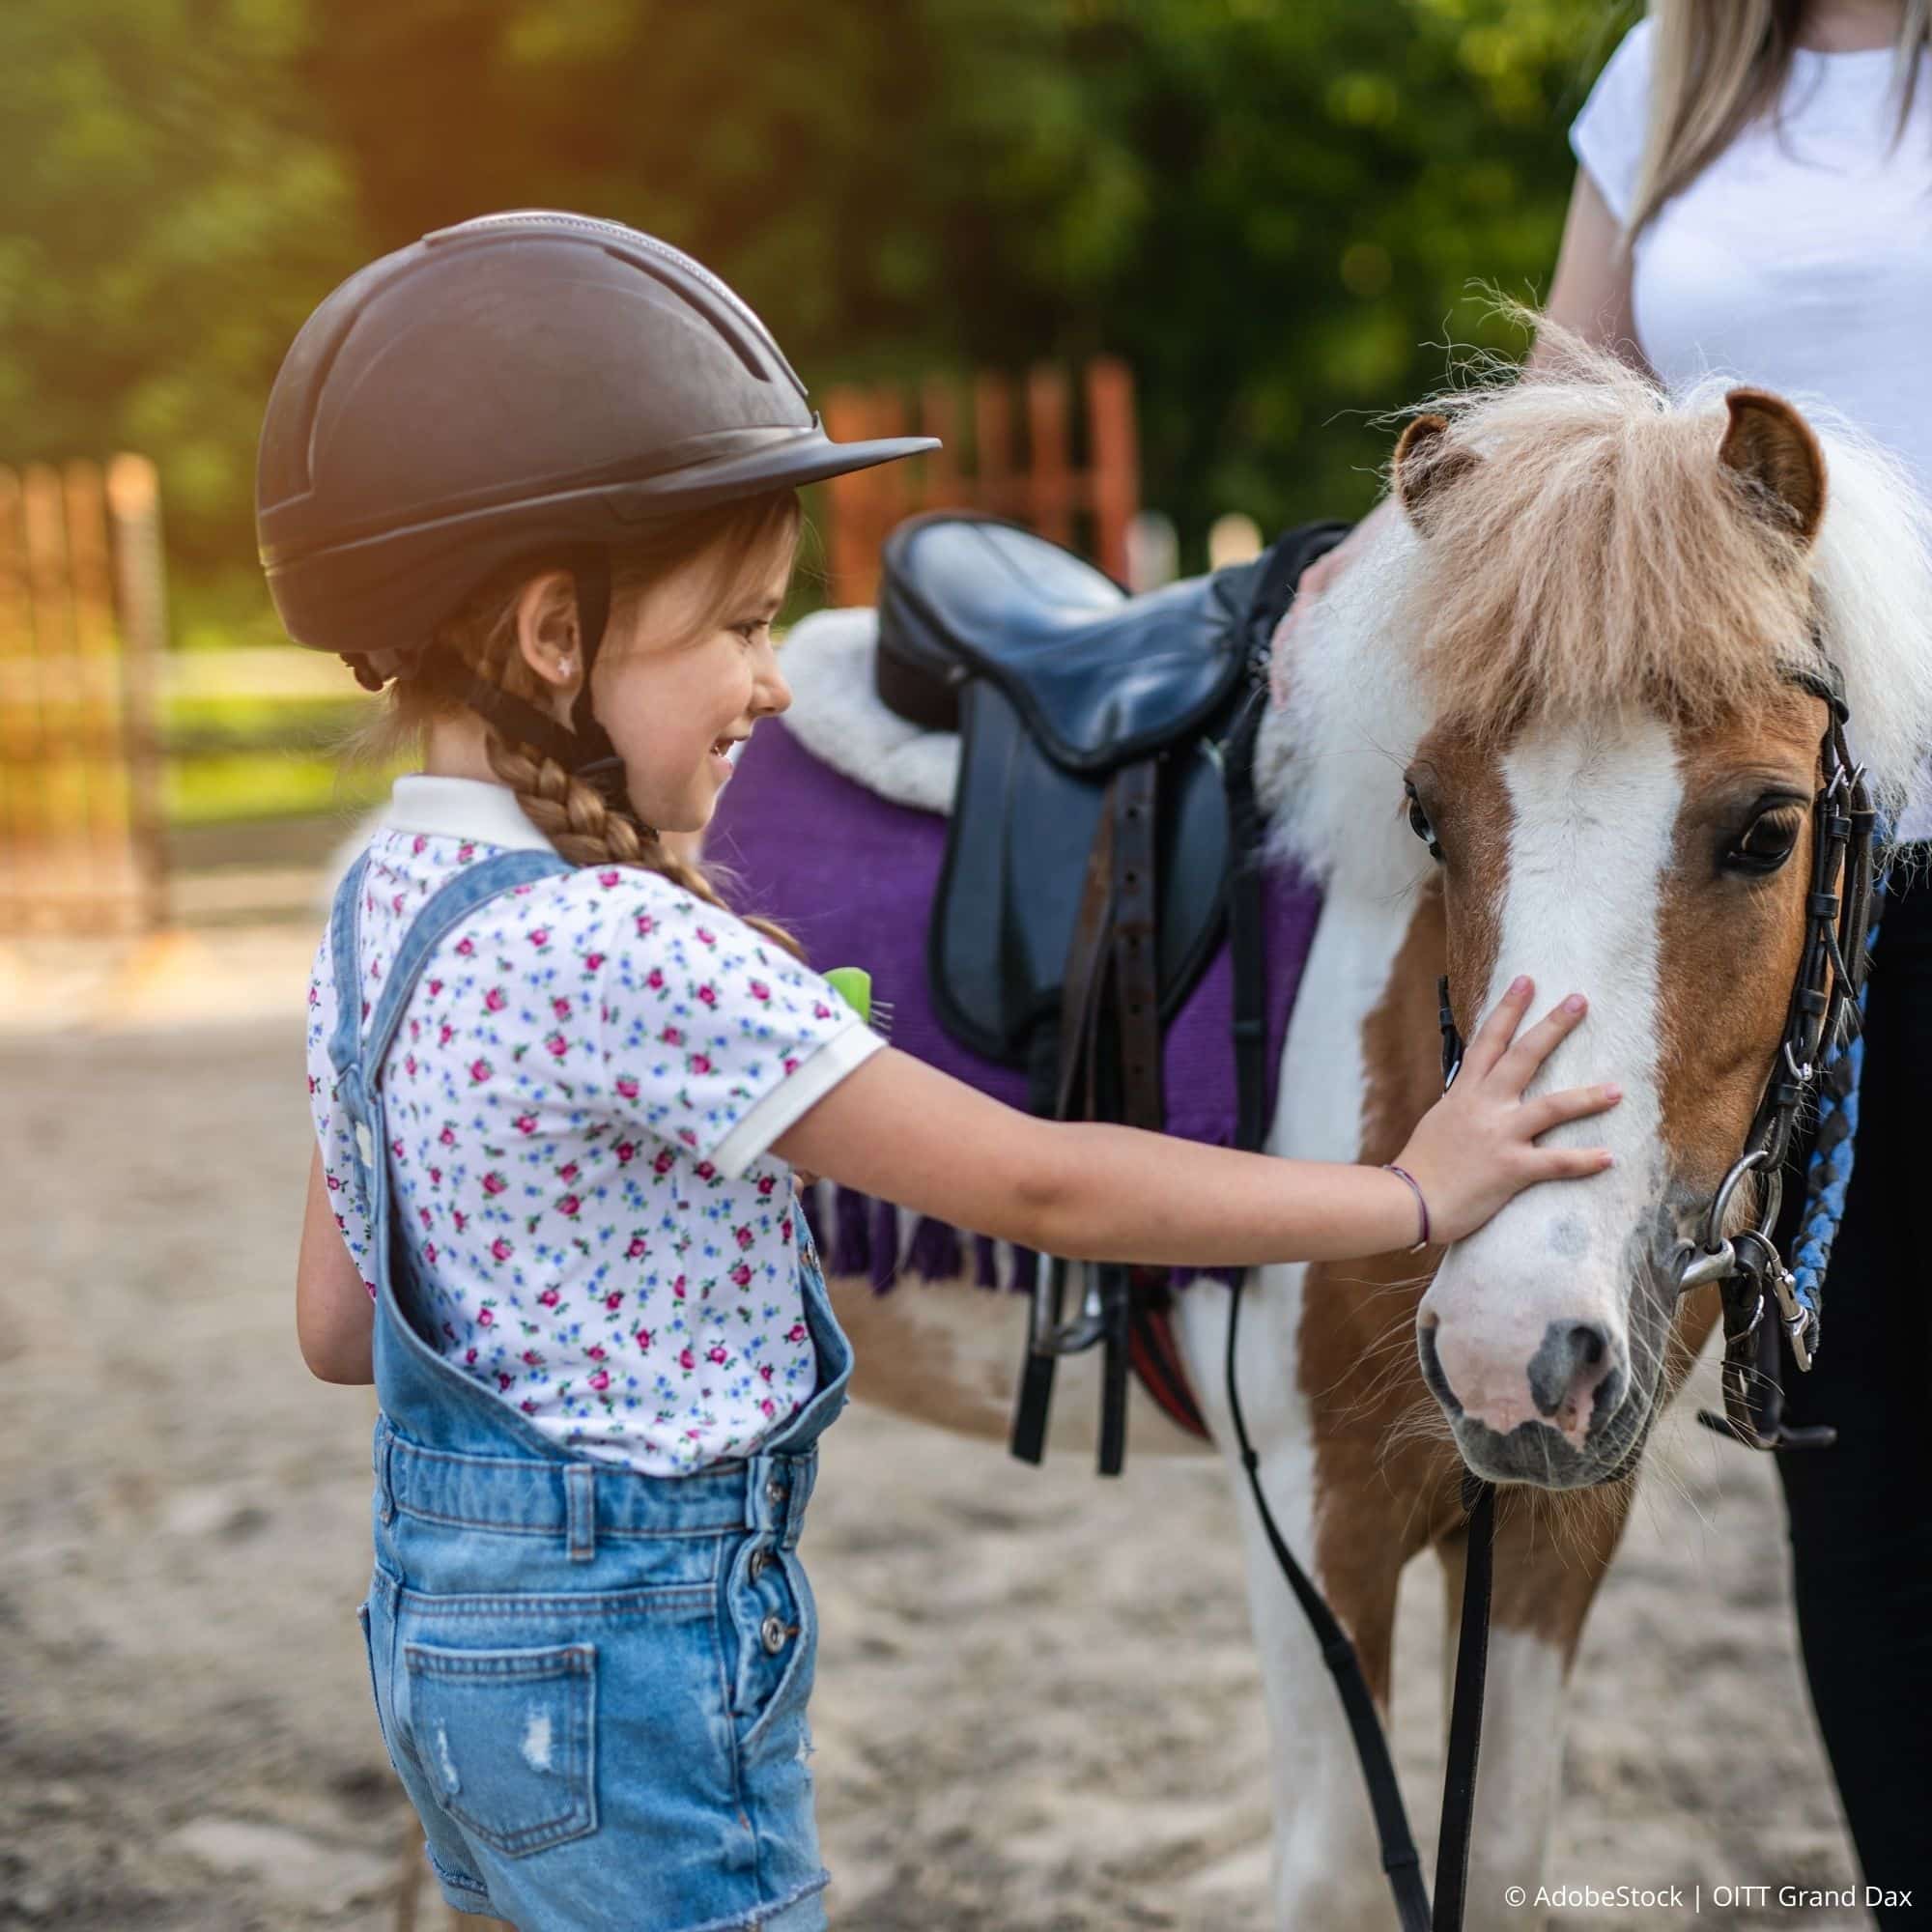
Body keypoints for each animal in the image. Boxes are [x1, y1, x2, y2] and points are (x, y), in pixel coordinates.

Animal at [757, 336, 1932, 1932]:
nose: (1512, 1349)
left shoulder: (1557, 1524)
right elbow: (1330, 1878)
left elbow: (1501, 1858)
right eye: (1427, 816)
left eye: (1766, 828)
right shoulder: (1317, 1512)